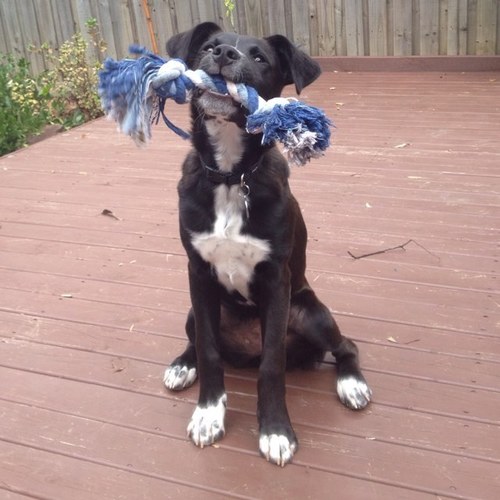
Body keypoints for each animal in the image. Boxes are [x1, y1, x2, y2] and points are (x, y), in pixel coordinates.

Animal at [164, 21, 372, 466]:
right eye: (208, 47)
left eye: (259, 57)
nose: (224, 54)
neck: (230, 177)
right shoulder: (198, 274)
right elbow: (208, 350)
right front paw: (208, 413)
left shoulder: (276, 281)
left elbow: (272, 366)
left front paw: (275, 431)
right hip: (193, 311)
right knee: (197, 338)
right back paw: (182, 365)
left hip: (310, 312)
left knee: (344, 346)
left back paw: (352, 384)